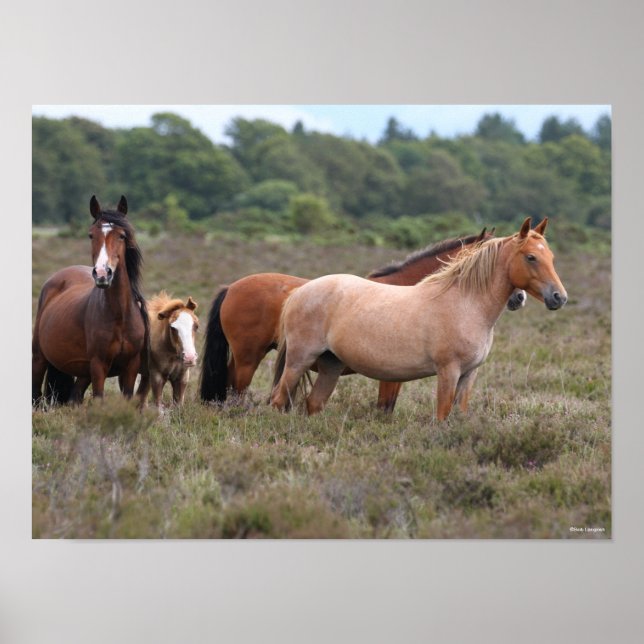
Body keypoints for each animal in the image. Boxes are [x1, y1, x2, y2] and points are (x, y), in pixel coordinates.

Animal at [32, 195, 149, 405]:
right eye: (91, 235)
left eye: (122, 235)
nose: (102, 274)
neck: (119, 315)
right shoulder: (98, 365)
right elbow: (99, 400)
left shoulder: (131, 366)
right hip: (39, 358)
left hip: (82, 373)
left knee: (74, 397)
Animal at [199, 228, 526, 411]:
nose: (519, 298)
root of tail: (232, 287)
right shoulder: (391, 378)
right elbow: (384, 410)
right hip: (249, 358)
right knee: (235, 389)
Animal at [270, 217, 566, 421]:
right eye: (531, 257)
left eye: (551, 257)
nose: (559, 297)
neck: (466, 303)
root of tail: (299, 292)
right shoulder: (448, 372)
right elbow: (441, 415)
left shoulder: (469, 375)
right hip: (299, 361)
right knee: (278, 400)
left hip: (331, 365)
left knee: (313, 403)